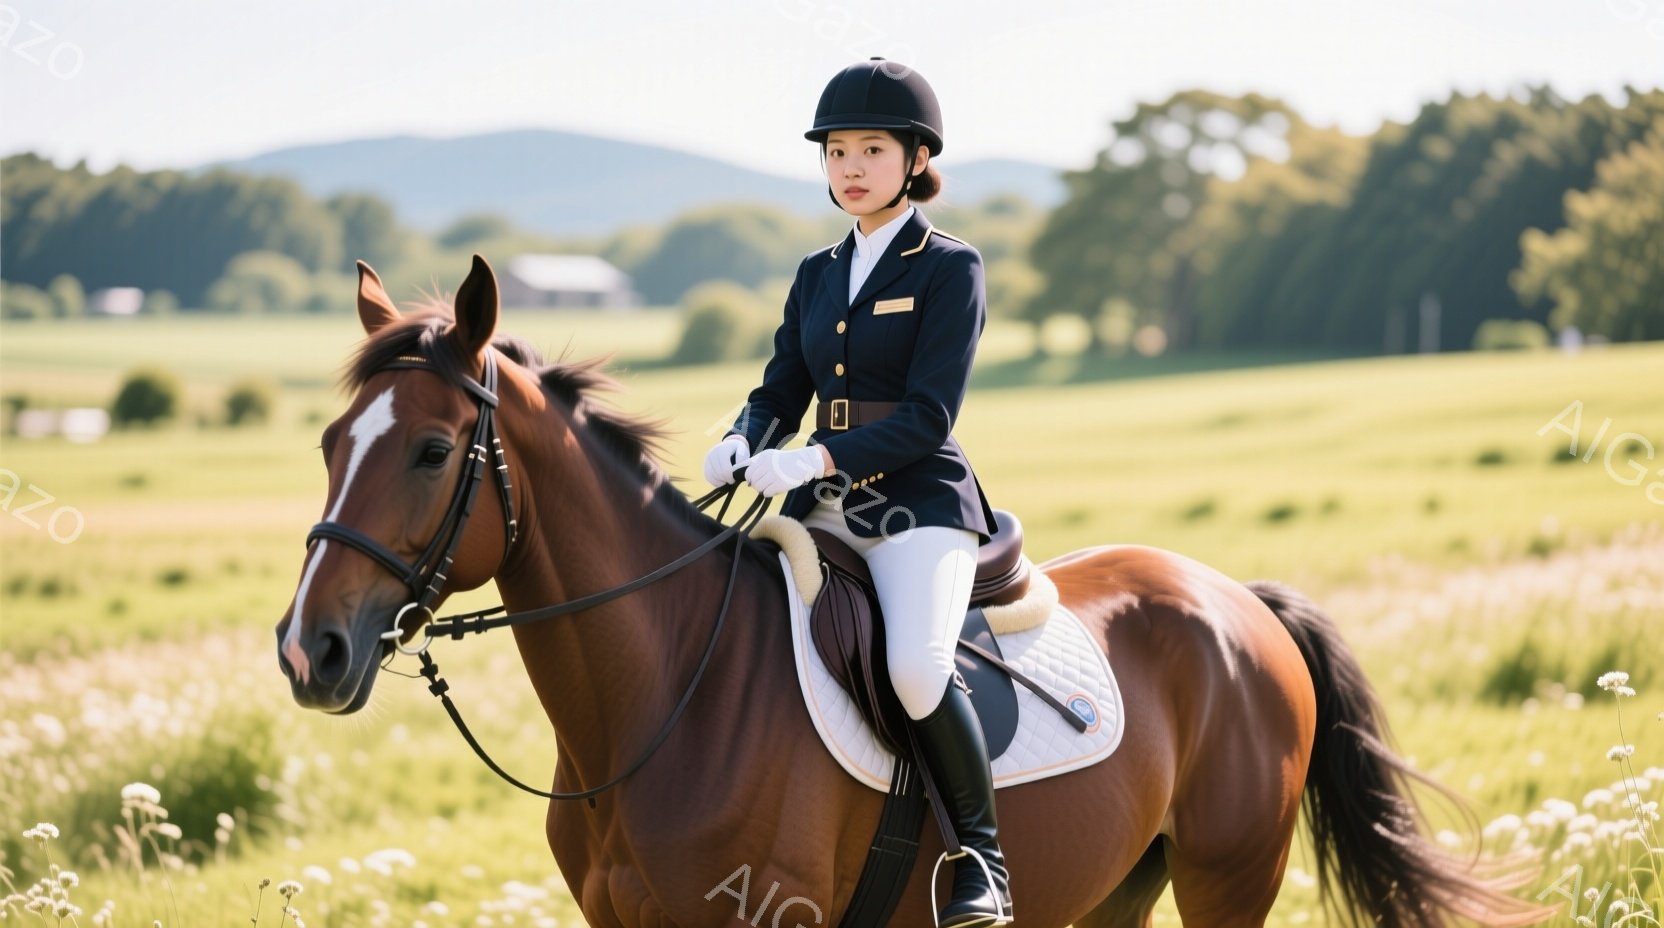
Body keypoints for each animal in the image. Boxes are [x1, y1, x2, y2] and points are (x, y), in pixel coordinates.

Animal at [275, 255, 1548, 928]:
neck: (661, 701)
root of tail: (1231, 598)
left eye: (430, 451)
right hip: (1116, 885)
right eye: (331, 441)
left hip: (1229, 874)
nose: (307, 653)